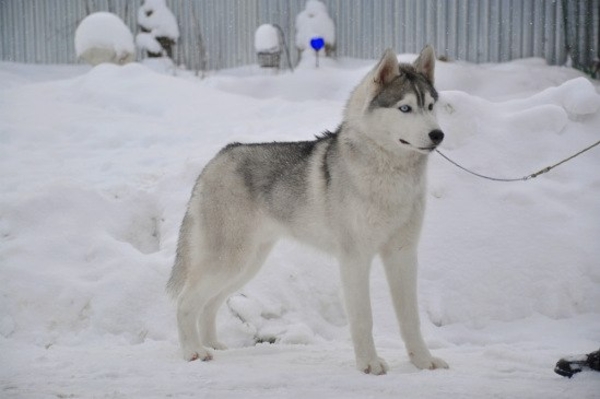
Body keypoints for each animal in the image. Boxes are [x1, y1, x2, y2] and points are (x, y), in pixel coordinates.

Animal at [166, 47, 448, 376]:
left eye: (430, 106)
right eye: (405, 108)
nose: (438, 135)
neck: (389, 177)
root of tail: (218, 157)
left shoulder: (402, 256)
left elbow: (410, 319)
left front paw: (423, 361)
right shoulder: (355, 259)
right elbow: (363, 319)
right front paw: (368, 364)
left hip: (246, 264)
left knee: (210, 304)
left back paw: (213, 344)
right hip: (229, 261)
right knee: (185, 302)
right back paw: (193, 351)